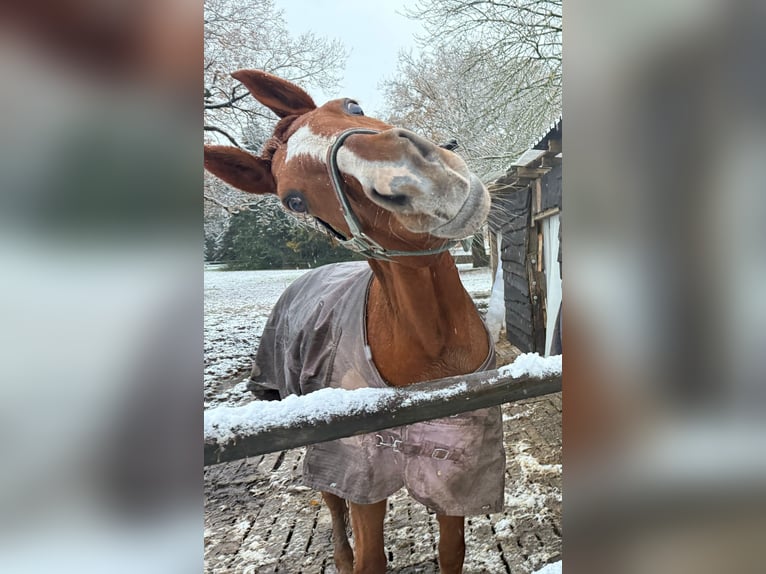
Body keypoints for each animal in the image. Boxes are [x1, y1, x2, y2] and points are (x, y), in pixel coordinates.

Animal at [204, 70, 508, 572]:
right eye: (294, 201)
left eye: (352, 106)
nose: (410, 177)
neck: (434, 357)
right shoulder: (360, 473)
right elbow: (369, 555)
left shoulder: (456, 472)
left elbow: (451, 552)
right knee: (330, 501)